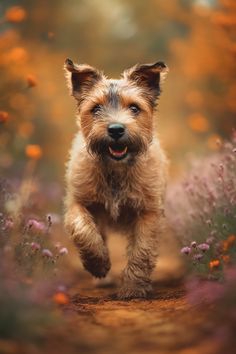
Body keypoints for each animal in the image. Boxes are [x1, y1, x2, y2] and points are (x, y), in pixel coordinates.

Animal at [63, 58, 169, 298]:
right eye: (96, 108)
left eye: (134, 108)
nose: (116, 129)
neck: (115, 170)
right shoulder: (78, 202)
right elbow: (83, 229)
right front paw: (98, 264)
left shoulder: (148, 212)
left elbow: (142, 250)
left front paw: (133, 288)